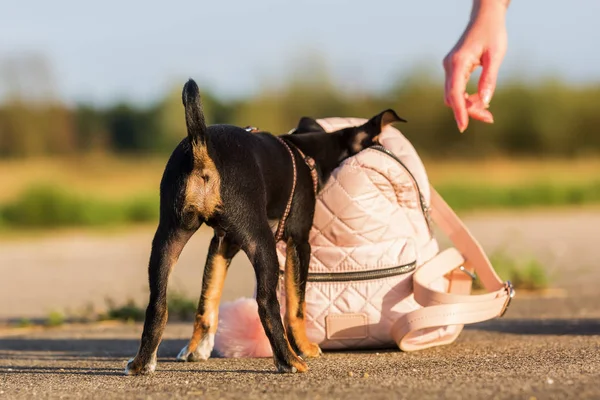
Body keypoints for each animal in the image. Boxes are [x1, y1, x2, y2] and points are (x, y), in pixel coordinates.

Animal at [124, 77, 406, 376]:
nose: (387, 149)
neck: (305, 153)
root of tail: (202, 147)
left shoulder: (223, 242)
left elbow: (208, 298)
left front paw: (196, 349)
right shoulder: (298, 241)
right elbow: (296, 305)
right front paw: (305, 347)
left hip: (168, 238)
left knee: (157, 304)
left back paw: (141, 363)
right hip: (262, 243)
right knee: (267, 303)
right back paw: (290, 360)